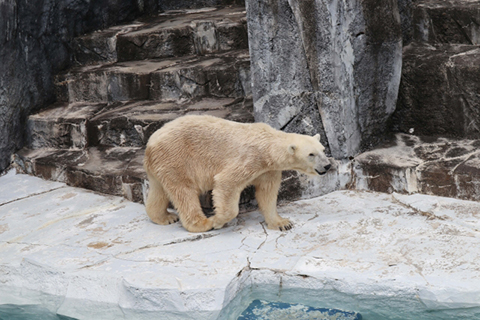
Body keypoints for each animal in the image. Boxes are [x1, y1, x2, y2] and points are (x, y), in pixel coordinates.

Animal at [144, 115, 332, 232]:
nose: (328, 165)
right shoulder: (250, 158)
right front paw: (218, 221)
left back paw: (165, 217)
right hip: (177, 158)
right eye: (311, 154)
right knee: (184, 192)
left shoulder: (268, 170)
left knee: (159, 190)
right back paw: (203, 223)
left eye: (323, 149)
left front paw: (282, 223)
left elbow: (267, 194)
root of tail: (150, 144)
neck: (268, 146)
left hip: (161, 165)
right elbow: (226, 183)